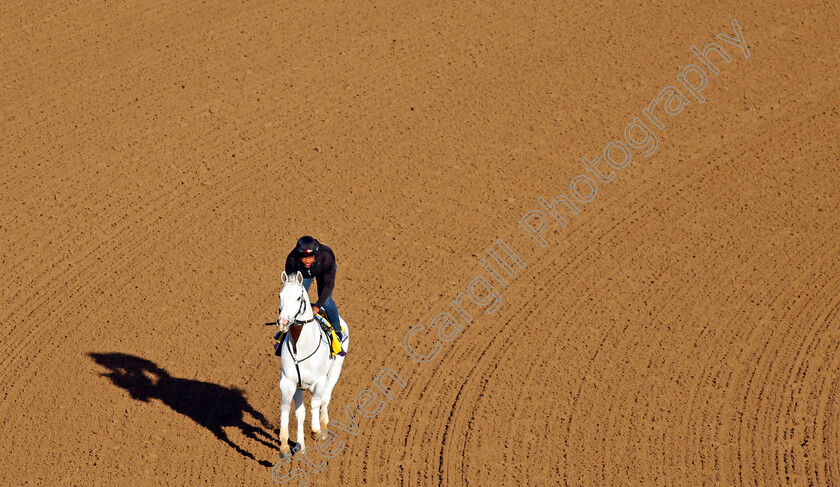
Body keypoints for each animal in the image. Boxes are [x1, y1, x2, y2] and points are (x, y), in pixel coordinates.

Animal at [274, 272, 346, 460]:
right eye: (280, 296)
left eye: (299, 298)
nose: (283, 322)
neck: (302, 347)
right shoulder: (288, 382)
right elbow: (287, 409)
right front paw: (285, 446)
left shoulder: (319, 381)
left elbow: (315, 403)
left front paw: (316, 431)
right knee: (300, 413)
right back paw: (300, 445)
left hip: (335, 371)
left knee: (324, 400)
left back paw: (323, 426)